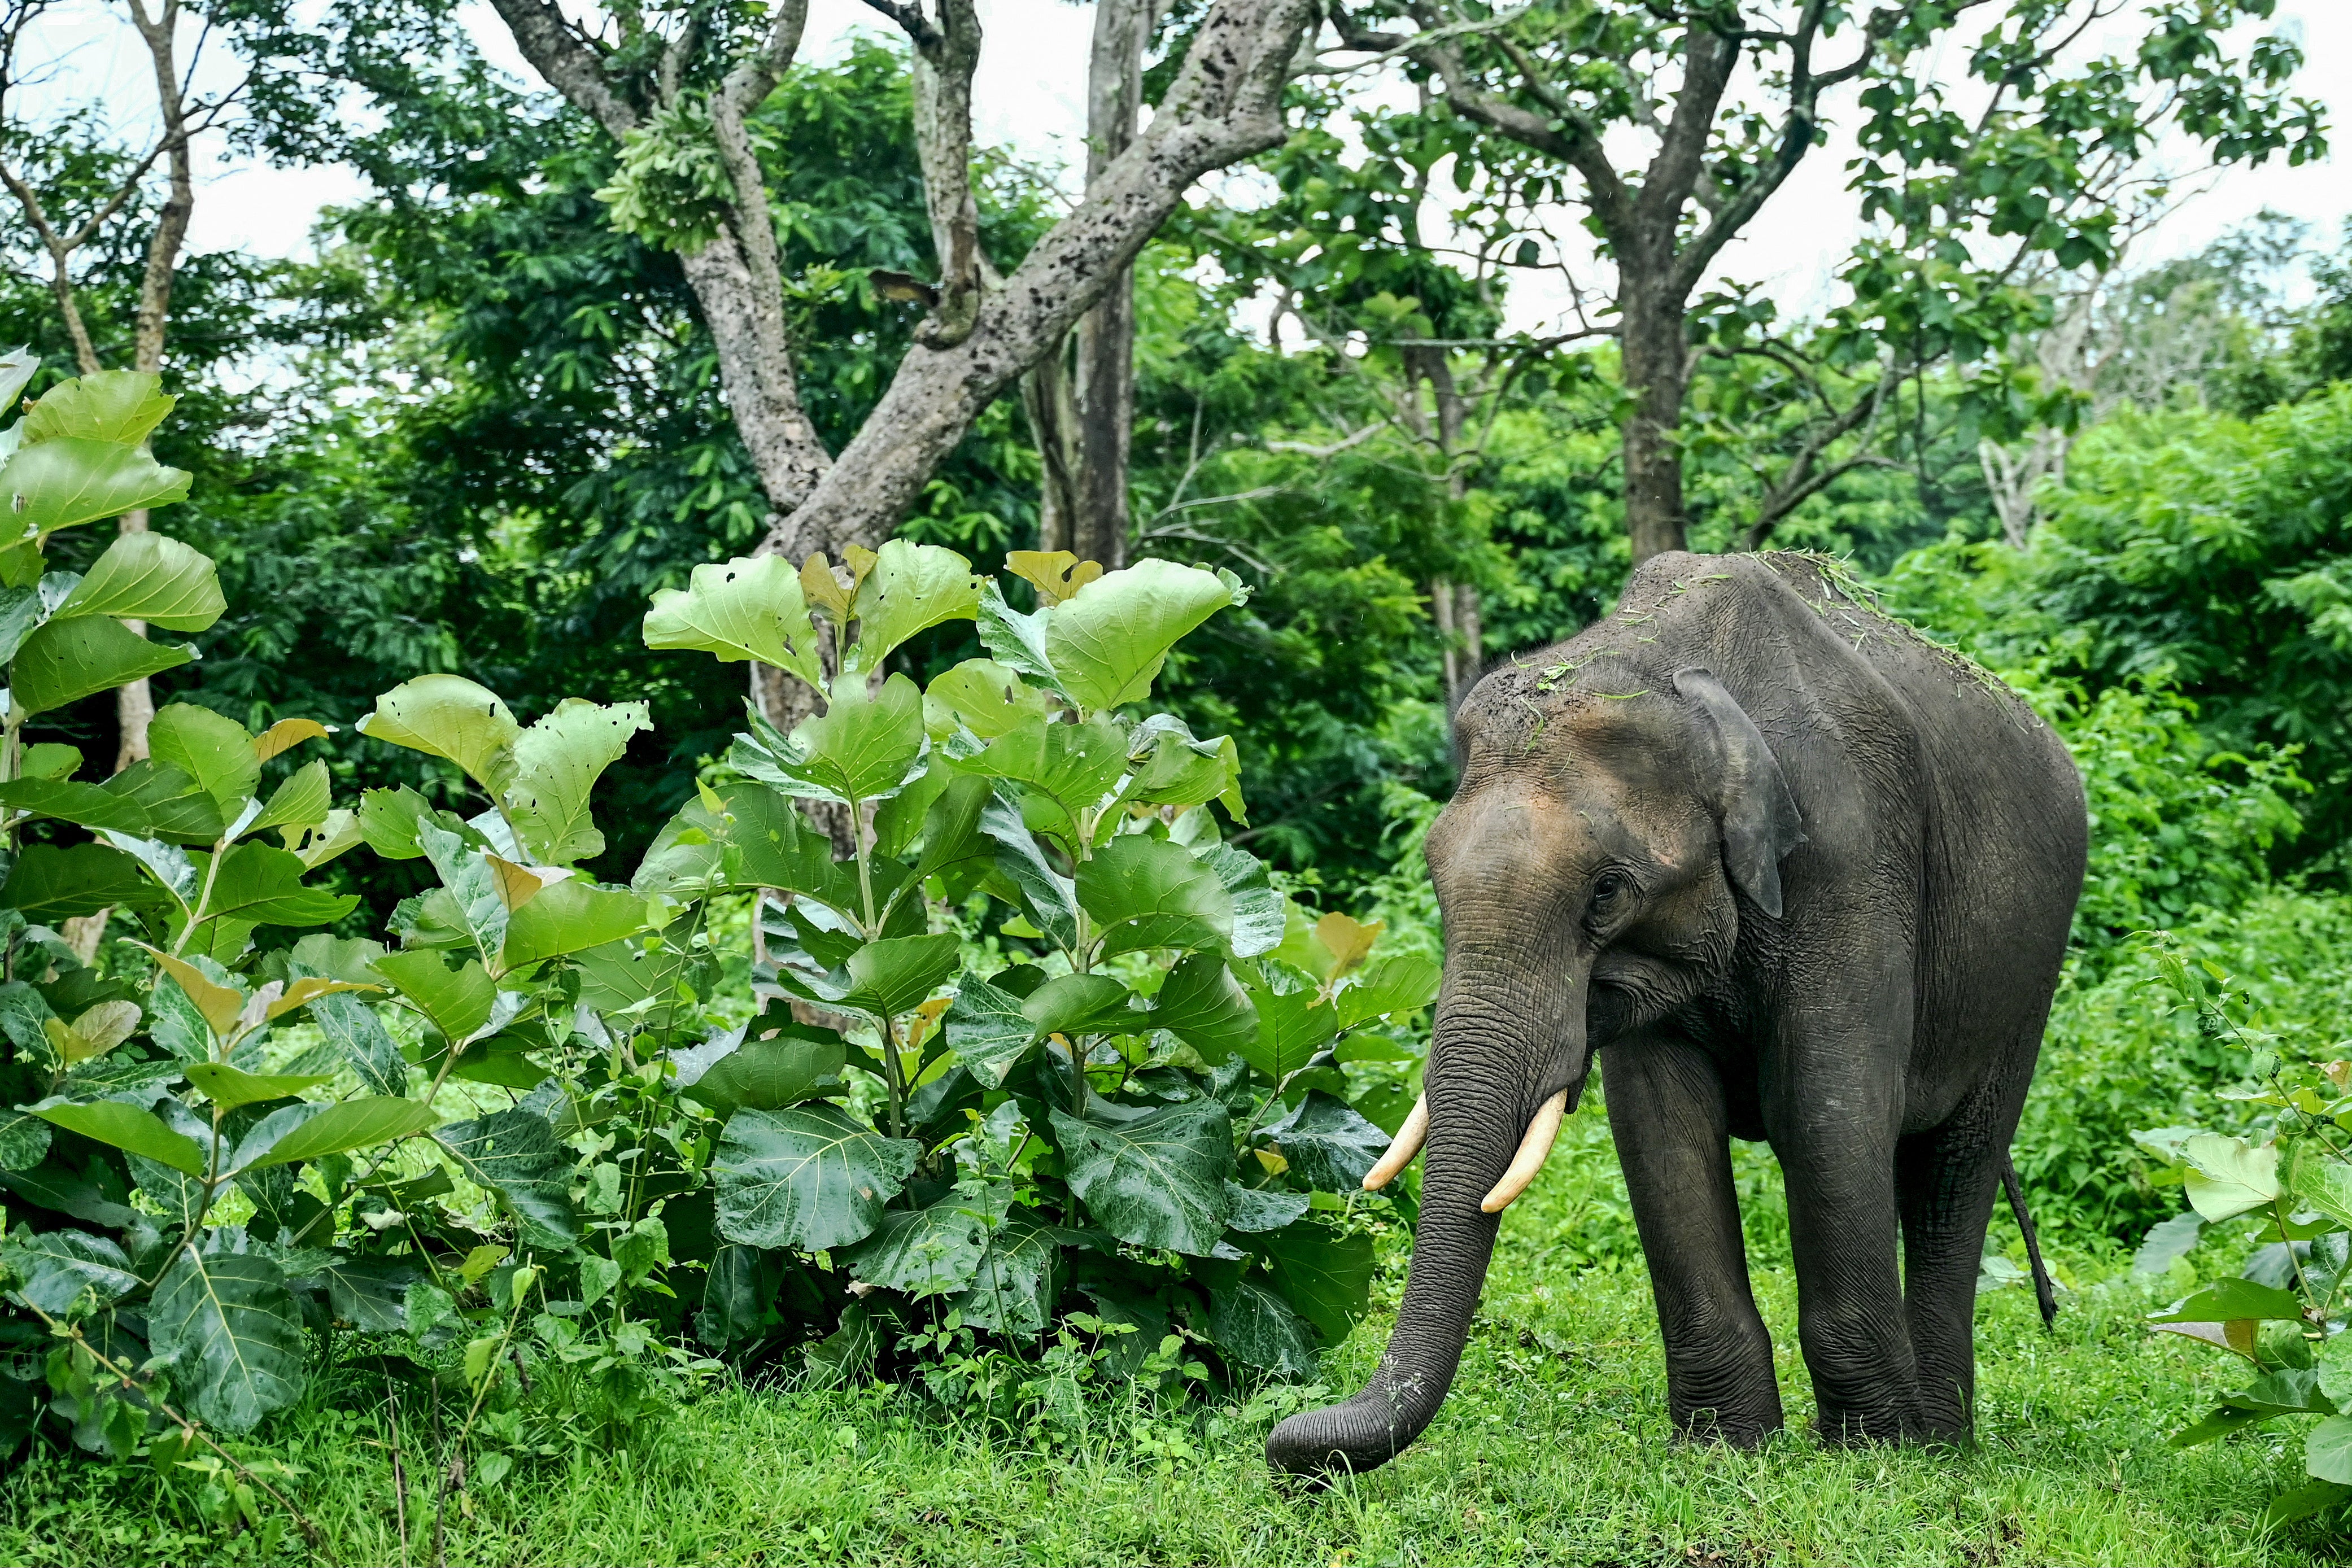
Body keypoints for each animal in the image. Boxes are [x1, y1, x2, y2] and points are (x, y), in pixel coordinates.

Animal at [1266, 550, 2087, 1477]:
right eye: (1434, 876)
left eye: (1605, 893)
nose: (1287, 1448)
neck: (1673, 670)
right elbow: (1661, 1124)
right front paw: (1724, 1449)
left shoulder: (1853, 853)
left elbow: (1826, 1111)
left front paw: (1873, 1458)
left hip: (2029, 972)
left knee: (1954, 1168)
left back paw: (1940, 1445)